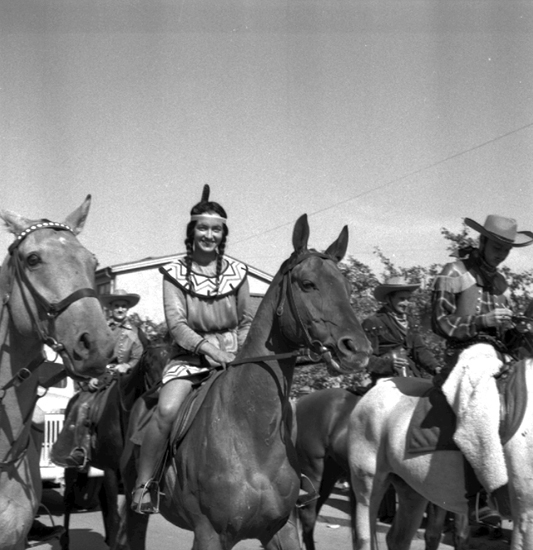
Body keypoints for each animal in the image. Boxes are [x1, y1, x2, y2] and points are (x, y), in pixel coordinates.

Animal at [52, 329, 171, 550]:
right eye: (149, 363)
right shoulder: (110, 470)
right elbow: (116, 517)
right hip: (73, 468)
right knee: (68, 500)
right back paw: (65, 540)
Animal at [114, 213, 372, 550]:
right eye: (308, 284)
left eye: (348, 287)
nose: (358, 350)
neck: (250, 430)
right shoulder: (210, 535)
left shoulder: (281, 530)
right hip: (138, 508)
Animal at [294, 388, 469, 550]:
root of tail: (301, 401)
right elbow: (434, 534)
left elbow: (457, 535)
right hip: (313, 473)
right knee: (308, 517)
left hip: (331, 473)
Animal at [347, 342, 533, 550]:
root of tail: (378, 386)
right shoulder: (526, 515)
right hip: (368, 484)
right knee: (365, 537)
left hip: (411, 488)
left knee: (397, 539)